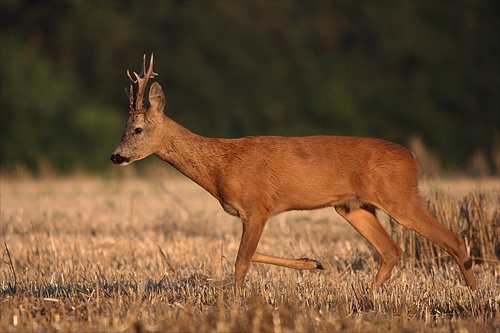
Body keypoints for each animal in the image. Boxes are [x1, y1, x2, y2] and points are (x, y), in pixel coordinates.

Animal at [112, 53, 476, 292]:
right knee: (391, 250)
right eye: (125, 127)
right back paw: (370, 298)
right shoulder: (257, 212)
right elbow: (245, 255)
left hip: (398, 195)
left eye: (138, 129)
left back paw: (473, 296)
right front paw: (311, 262)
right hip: (351, 206)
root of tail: (413, 158)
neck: (219, 166)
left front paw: (234, 303)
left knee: (454, 240)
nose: (116, 156)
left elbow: (241, 261)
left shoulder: (256, 207)